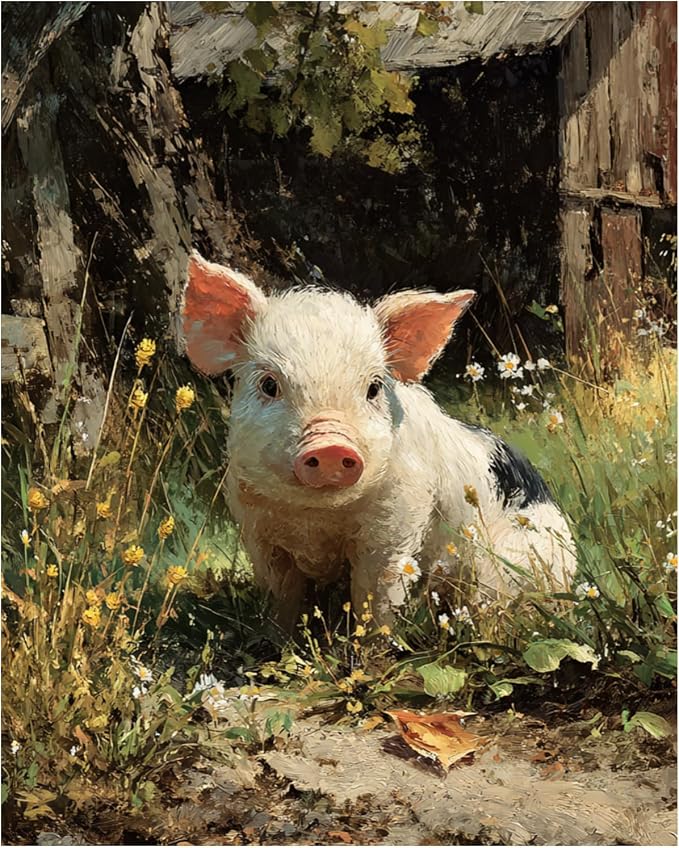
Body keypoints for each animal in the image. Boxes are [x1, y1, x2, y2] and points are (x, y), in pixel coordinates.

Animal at [182, 252, 576, 630]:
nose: (330, 445)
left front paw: (375, 645)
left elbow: (375, 596)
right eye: (269, 384)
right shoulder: (255, 528)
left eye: (373, 387)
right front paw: (276, 642)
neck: (316, 519)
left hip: (509, 565)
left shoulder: (397, 522)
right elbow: (282, 598)